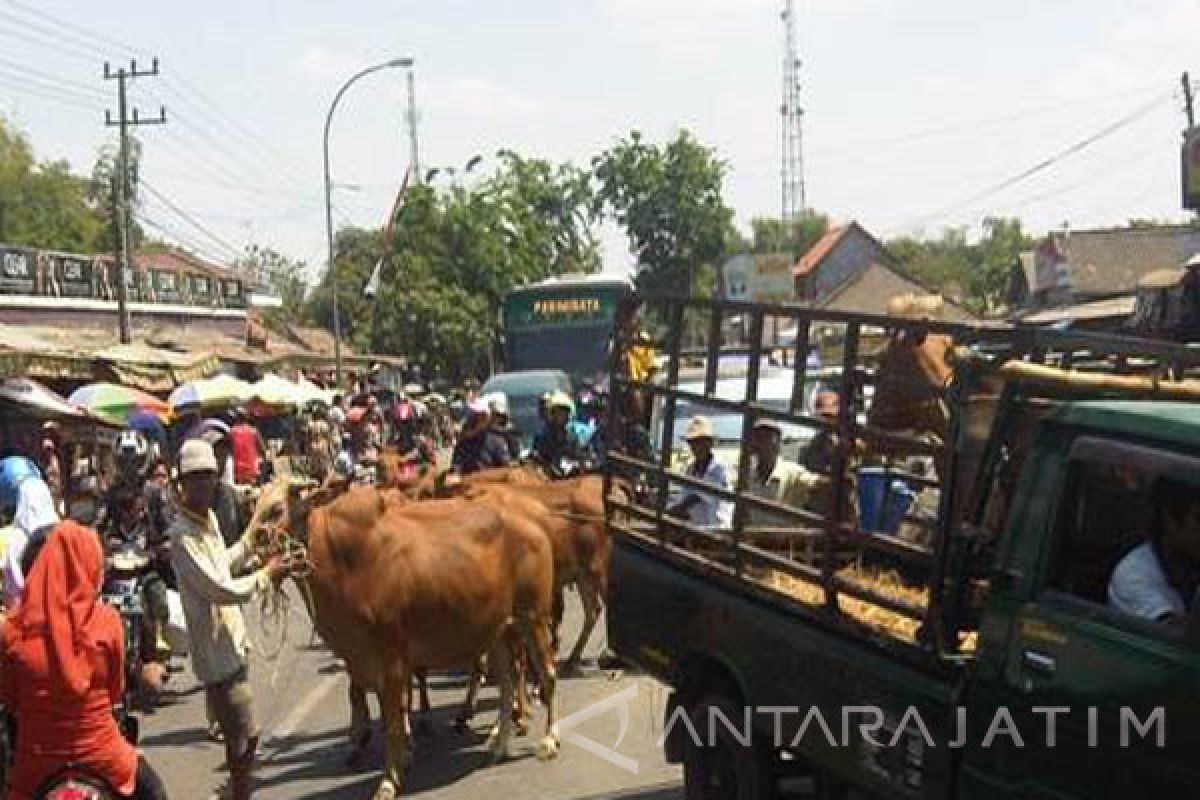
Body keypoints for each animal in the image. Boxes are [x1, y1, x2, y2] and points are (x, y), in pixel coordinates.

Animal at [247, 482, 561, 800]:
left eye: (277, 509)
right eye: (253, 507)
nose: (249, 548)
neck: (343, 562)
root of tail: (534, 523)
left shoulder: (391, 658)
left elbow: (394, 721)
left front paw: (389, 781)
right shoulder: (361, 660)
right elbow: (381, 708)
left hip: (533, 618)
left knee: (547, 675)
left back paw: (548, 741)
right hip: (498, 631)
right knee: (507, 687)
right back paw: (497, 746)